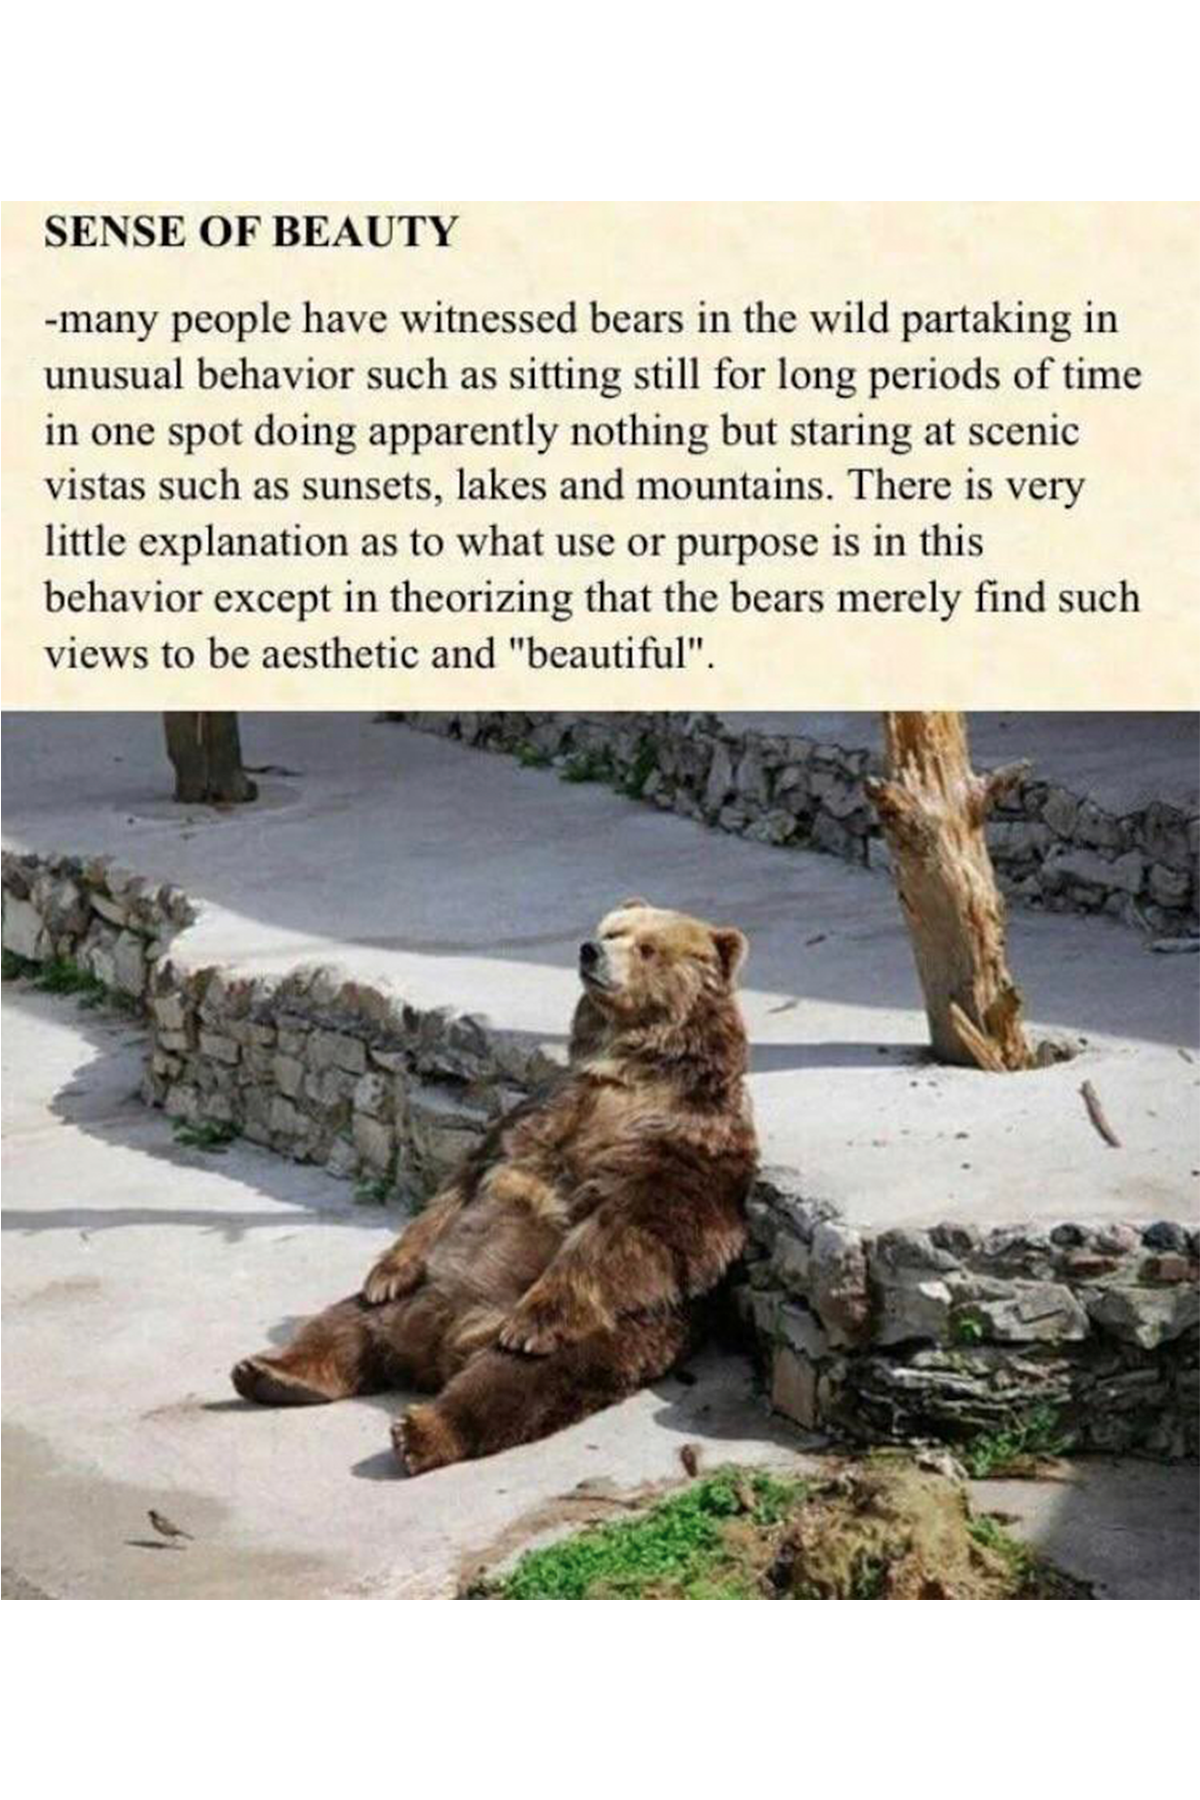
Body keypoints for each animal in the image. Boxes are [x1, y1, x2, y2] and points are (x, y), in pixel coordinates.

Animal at [231, 900, 758, 1475]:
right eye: (612, 929)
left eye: (647, 948)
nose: (590, 951)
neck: (632, 1068)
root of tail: (435, 1349)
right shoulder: (543, 1108)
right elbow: (463, 1182)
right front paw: (386, 1271)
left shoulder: (684, 1144)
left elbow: (638, 1229)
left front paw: (533, 1319)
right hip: (418, 1294)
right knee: (344, 1322)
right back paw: (272, 1371)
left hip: (604, 1336)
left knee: (516, 1383)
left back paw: (420, 1430)